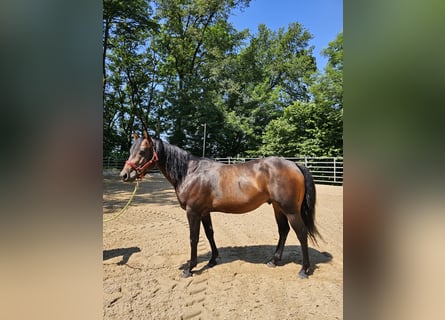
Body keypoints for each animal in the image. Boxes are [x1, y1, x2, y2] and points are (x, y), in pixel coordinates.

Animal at [118, 130, 320, 278]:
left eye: (142, 152)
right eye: (130, 151)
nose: (125, 175)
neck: (189, 172)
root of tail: (295, 165)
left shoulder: (193, 212)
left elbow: (194, 238)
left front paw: (190, 268)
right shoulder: (204, 212)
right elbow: (209, 234)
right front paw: (212, 260)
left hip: (291, 211)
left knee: (301, 234)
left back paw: (303, 270)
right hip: (278, 208)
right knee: (283, 231)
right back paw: (274, 260)